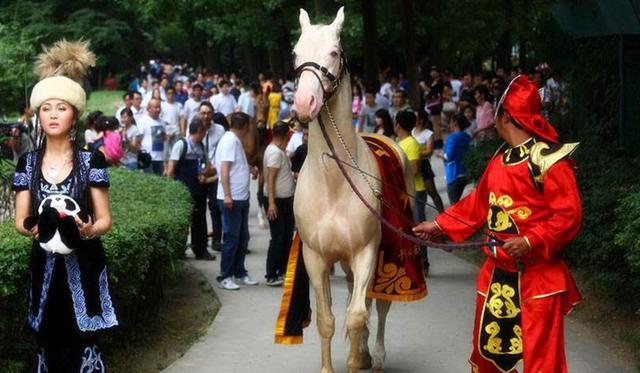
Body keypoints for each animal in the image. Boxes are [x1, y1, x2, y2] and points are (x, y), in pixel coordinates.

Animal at [296, 6, 416, 372]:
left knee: (379, 306)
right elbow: (327, 320)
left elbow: (357, 316)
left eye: (334, 52)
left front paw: (357, 357)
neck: (333, 183)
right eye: (296, 53)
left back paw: (374, 355)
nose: (304, 102)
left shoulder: (366, 253)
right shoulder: (315, 257)